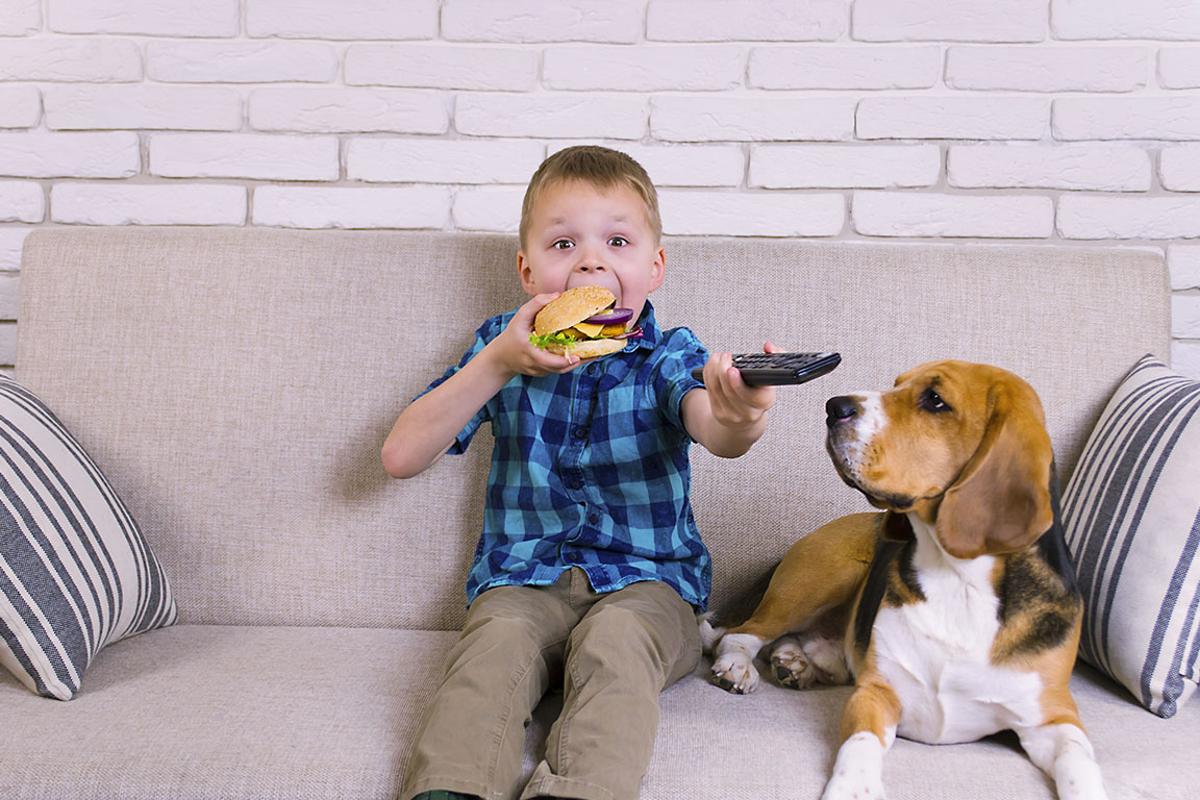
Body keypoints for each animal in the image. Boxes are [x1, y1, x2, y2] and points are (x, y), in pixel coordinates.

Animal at [700, 362, 1104, 800]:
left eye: (935, 400)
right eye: (896, 385)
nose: (833, 406)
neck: (958, 580)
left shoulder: (1053, 717)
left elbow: (1081, 763)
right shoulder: (876, 693)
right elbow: (859, 745)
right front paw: (853, 787)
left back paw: (795, 663)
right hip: (822, 577)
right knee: (740, 634)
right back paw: (739, 666)